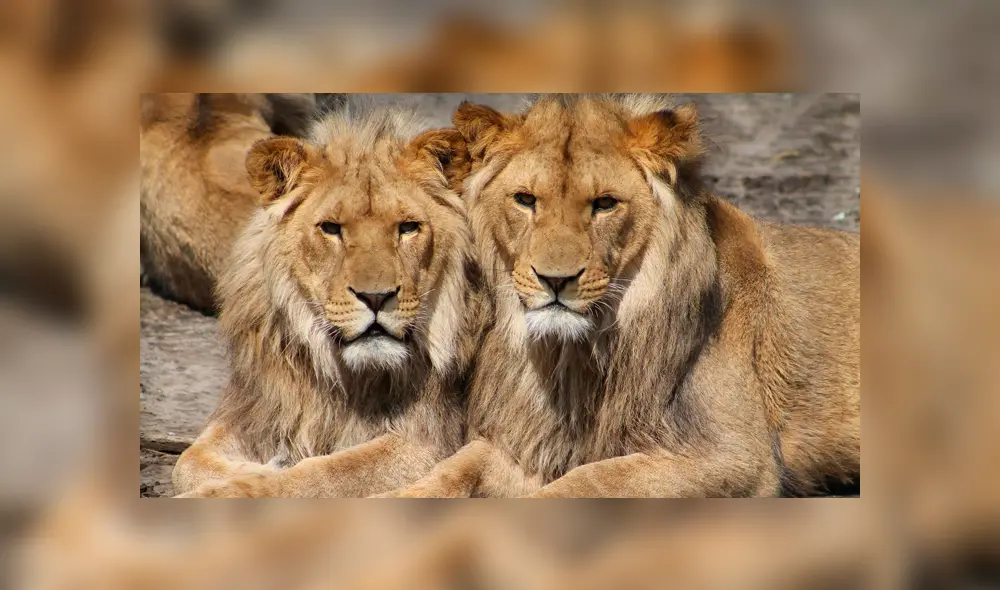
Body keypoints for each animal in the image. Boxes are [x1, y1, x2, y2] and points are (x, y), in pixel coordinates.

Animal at [172, 103, 482, 497]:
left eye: (408, 228)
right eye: (331, 228)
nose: (376, 297)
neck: (340, 374)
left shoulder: (426, 441)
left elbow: (321, 473)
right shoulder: (259, 407)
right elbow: (188, 462)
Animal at [385, 94, 860, 497]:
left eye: (605, 204)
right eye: (525, 200)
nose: (555, 280)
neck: (573, 357)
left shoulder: (736, 456)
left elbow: (584, 482)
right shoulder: (529, 440)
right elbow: (455, 468)